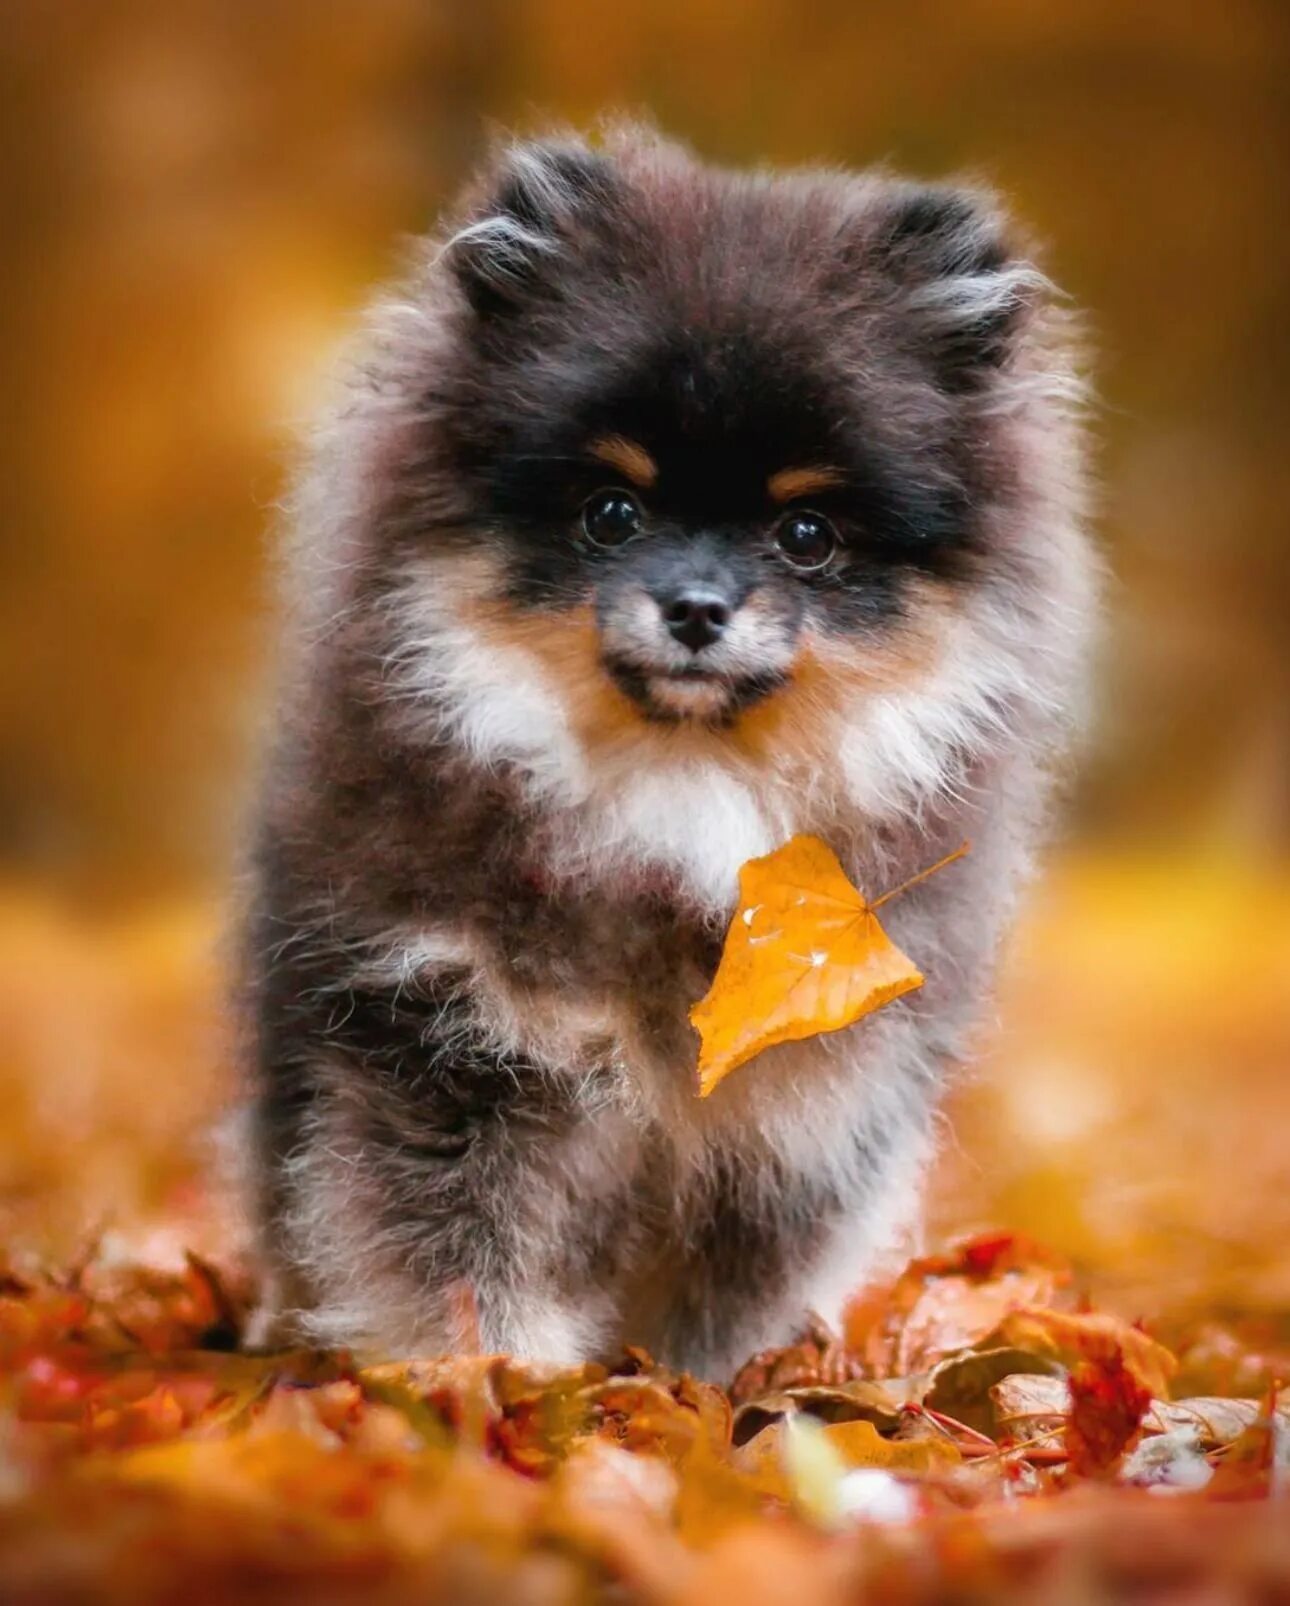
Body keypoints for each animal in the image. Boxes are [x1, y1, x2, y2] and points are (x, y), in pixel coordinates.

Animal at [239, 125, 1092, 1381]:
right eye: (611, 512)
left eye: (807, 533)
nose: (695, 606)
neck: (686, 795)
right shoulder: (440, 1037)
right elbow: (454, 1245)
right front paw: (497, 1381)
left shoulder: (804, 1109)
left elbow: (724, 1297)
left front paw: (708, 1394)